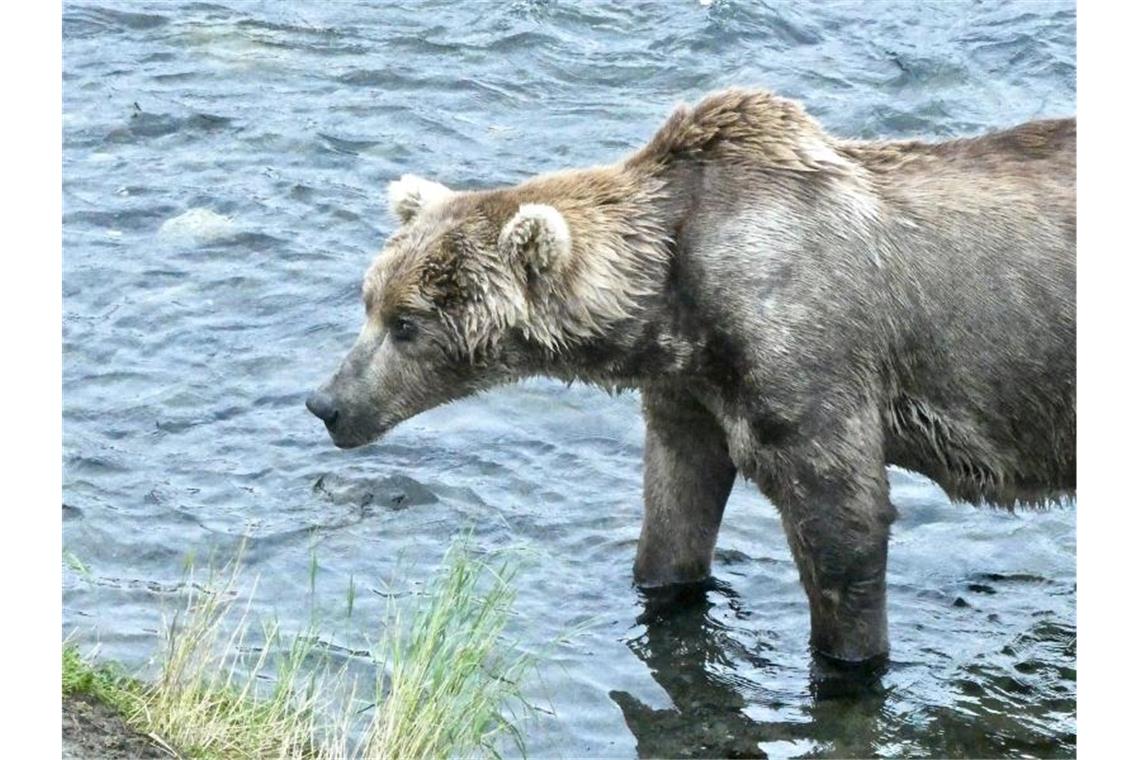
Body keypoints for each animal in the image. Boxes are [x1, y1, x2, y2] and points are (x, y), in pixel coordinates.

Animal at [307, 89, 1071, 665]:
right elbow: (678, 502)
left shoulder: (808, 353)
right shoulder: (690, 389)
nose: (326, 403)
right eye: (368, 302)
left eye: (407, 323)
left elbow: (844, 523)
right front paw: (663, 582)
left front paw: (850, 659)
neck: (674, 300)